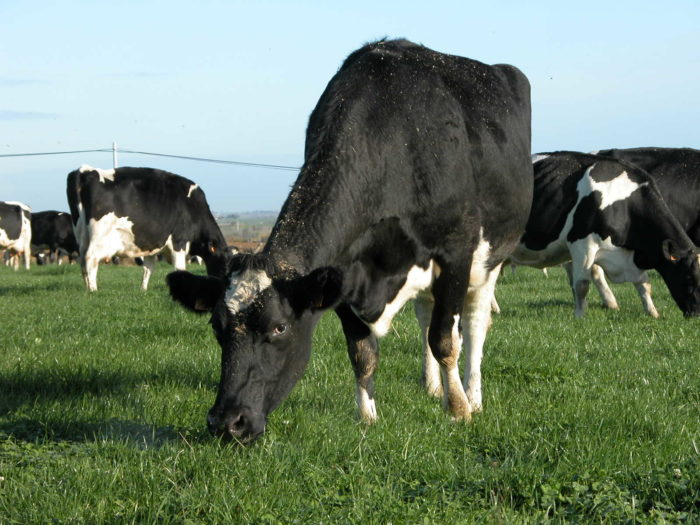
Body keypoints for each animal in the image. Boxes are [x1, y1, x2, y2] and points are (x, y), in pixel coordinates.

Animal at [66, 165, 231, 291]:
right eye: (224, 266)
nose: (224, 289)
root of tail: (85, 170)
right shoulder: (179, 240)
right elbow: (180, 268)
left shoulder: (152, 244)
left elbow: (148, 268)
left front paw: (143, 290)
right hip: (100, 235)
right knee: (91, 258)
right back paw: (93, 290)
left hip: (81, 234)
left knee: (82, 260)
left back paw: (87, 286)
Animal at [166, 39, 533, 443]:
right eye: (217, 327)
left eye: (279, 327)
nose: (227, 422)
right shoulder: (341, 271)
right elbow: (362, 352)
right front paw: (367, 418)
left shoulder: (455, 251)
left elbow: (445, 340)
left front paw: (458, 411)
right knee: (425, 314)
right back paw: (431, 385)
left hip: (490, 259)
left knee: (474, 323)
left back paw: (472, 394)